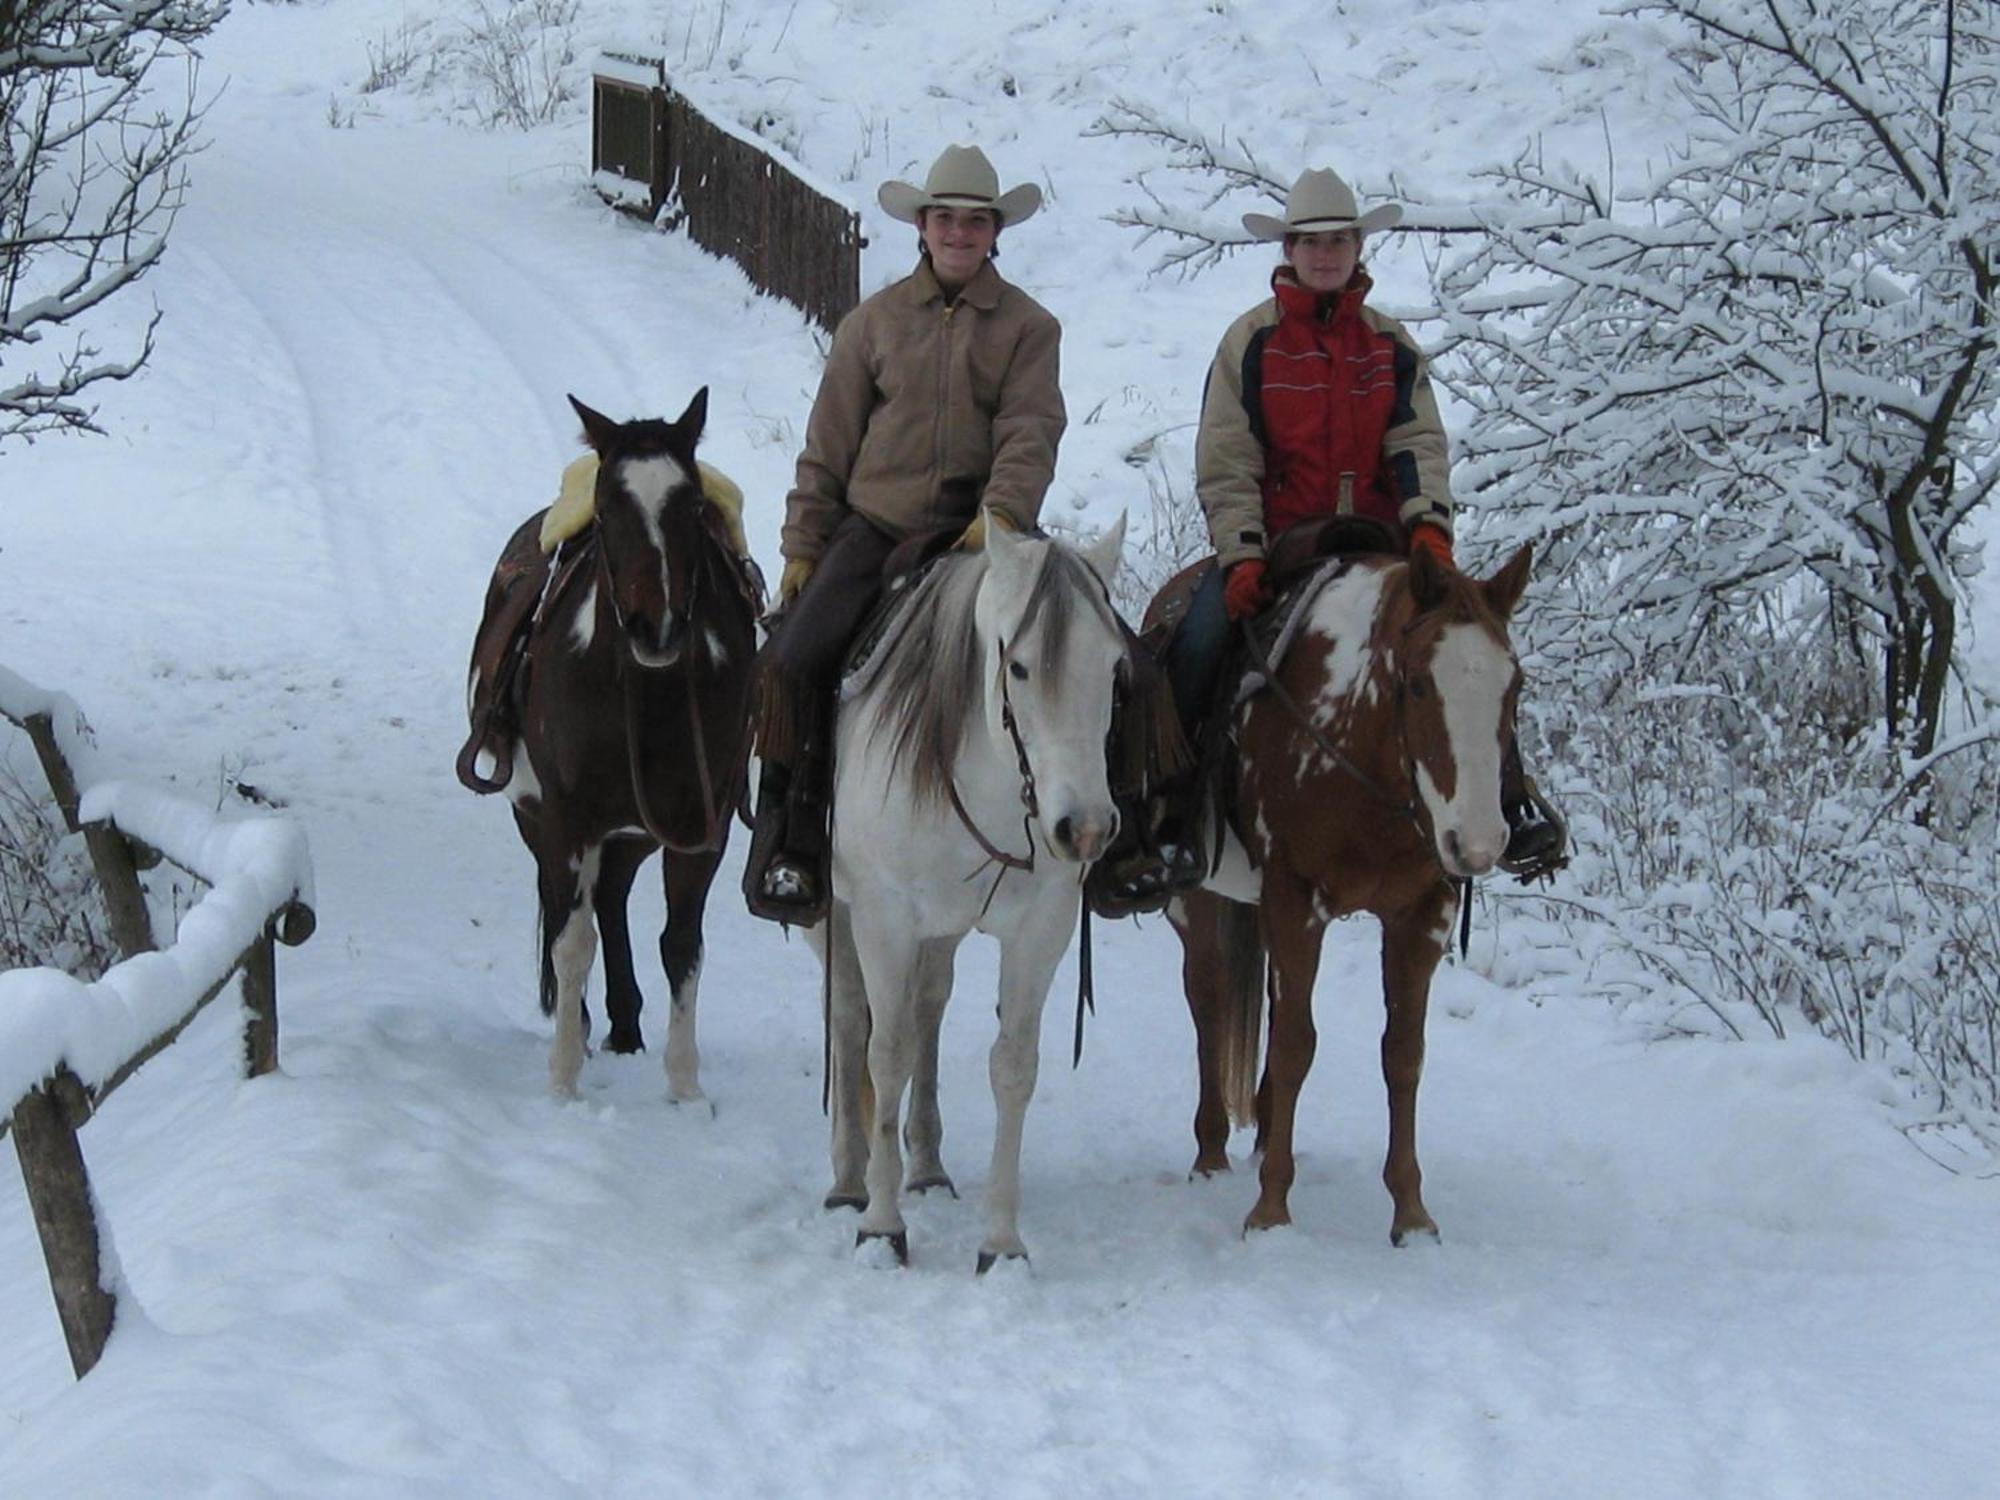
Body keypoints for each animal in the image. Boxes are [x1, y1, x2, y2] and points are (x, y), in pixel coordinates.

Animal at [458, 394, 760, 1096]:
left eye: (691, 506)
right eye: (607, 510)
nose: (656, 627)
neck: (644, 692)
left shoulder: (699, 825)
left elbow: (681, 944)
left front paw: (684, 1090)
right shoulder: (567, 818)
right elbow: (572, 943)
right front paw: (563, 1080)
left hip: (632, 831)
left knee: (613, 900)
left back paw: (625, 1026)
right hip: (541, 819)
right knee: (574, 910)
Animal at [812, 524, 1128, 1272]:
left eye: (1111, 667)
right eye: (1020, 669)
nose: (1085, 828)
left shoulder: (1041, 930)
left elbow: (1012, 1066)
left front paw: (1001, 1244)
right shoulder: (884, 919)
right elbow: (885, 1051)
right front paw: (882, 1225)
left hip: (943, 931)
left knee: (929, 1008)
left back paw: (926, 1166)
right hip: (835, 914)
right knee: (849, 1020)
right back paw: (848, 1180)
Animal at [1168, 548, 1528, 1248]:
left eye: (1515, 685)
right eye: (1417, 683)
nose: (1476, 842)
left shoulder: (1424, 914)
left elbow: (1403, 1053)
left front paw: (1411, 1214)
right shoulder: (1294, 899)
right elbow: (1294, 1046)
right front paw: (1270, 1210)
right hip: (1200, 901)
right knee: (1209, 999)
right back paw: (1211, 1150)